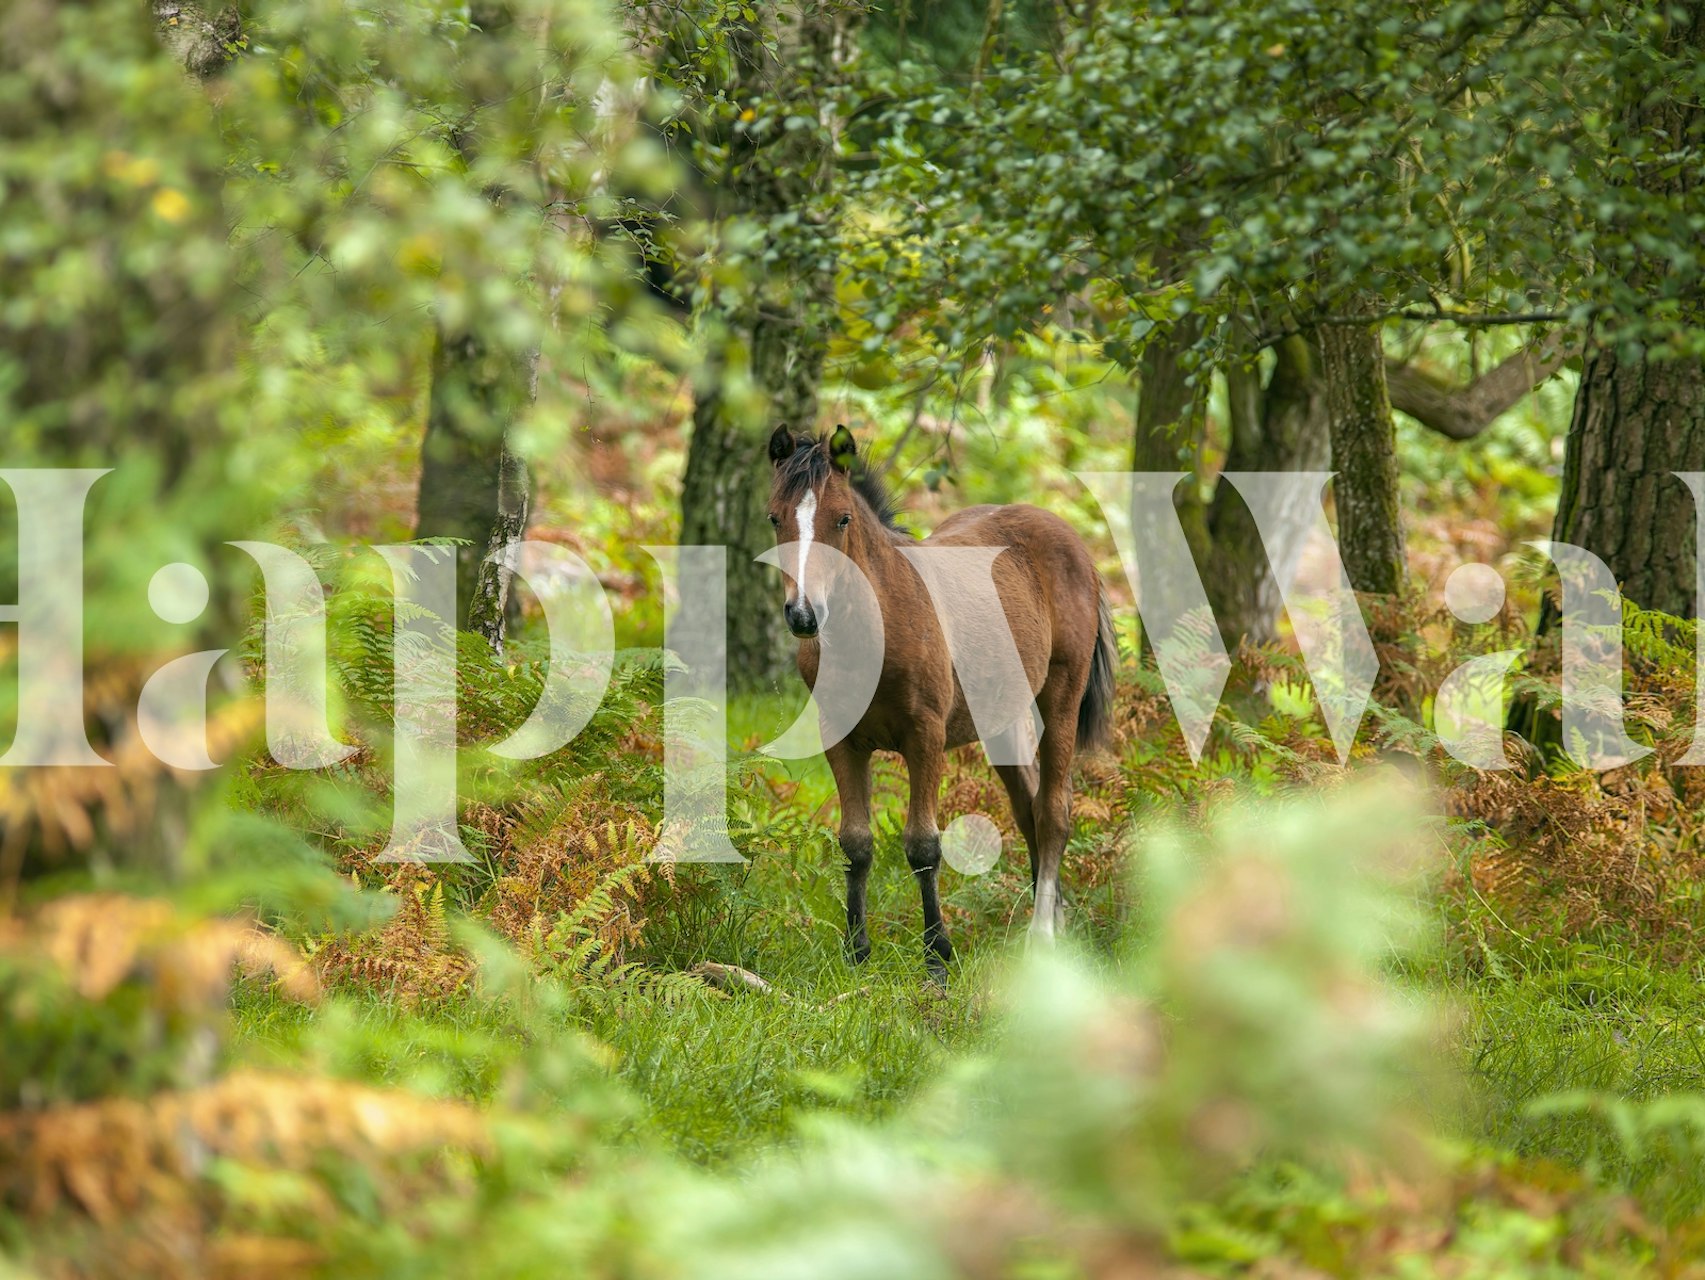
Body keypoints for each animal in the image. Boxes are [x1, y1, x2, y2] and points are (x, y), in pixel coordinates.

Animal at [765, 423, 1117, 979]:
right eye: (774, 517)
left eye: (841, 518)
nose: (803, 615)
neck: (877, 625)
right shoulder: (840, 741)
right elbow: (855, 843)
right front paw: (856, 953)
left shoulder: (924, 737)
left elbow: (923, 845)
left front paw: (937, 957)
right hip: (1000, 721)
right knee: (1028, 808)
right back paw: (1055, 921)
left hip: (1060, 697)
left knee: (1053, 812)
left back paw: (1042, 936)